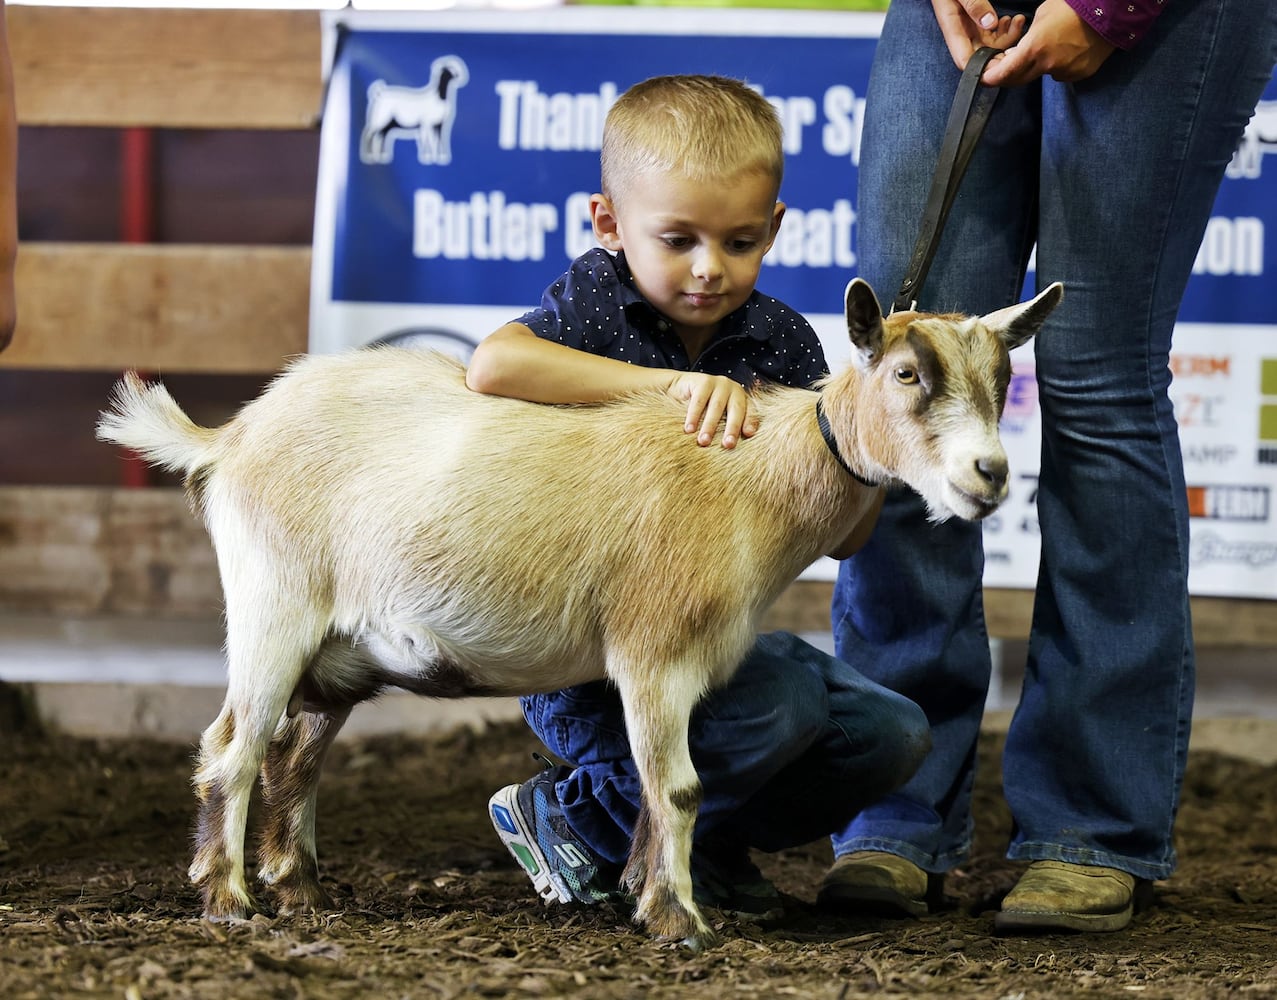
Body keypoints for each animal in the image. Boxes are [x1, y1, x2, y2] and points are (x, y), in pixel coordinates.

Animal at [94, 277, 1062, 950]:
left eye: (1003, 376)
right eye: (905, 372)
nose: (989, 477)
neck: (751, 479)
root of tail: (230, 438)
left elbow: (657, 786)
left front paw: (644, 892)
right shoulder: (654, 651)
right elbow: (678, 785)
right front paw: (680, 922)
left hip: (338, 654)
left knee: (294, 754)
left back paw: (298, 888)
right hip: (273, 606)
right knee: (231, 747)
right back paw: (229, 900)